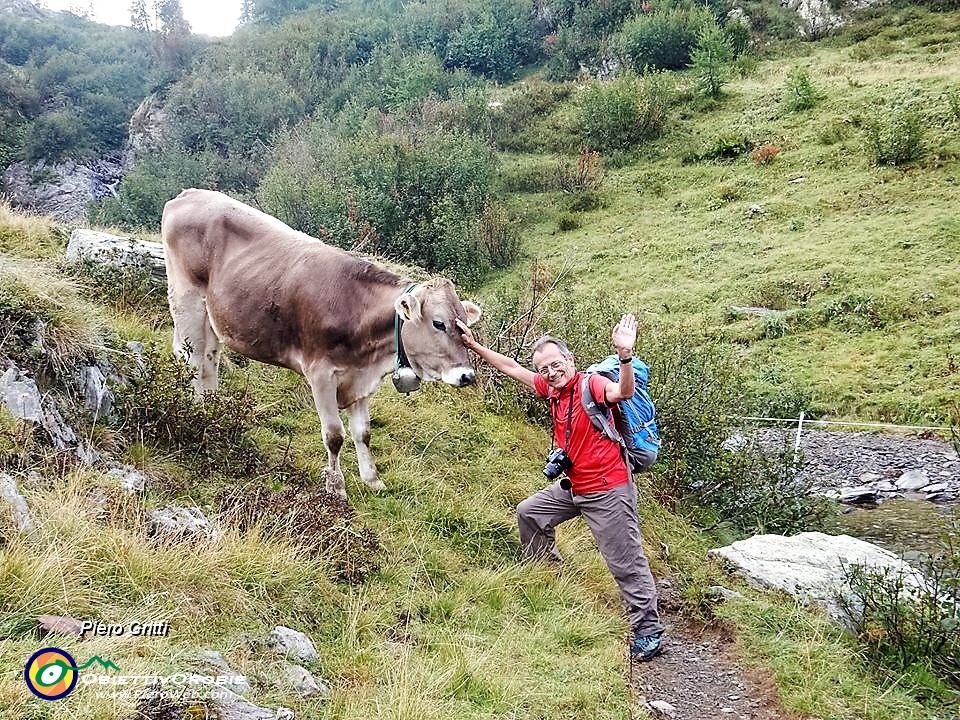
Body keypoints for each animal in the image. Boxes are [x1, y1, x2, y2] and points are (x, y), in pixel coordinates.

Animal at [160, 188, 484, 498]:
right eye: (439, 323)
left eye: (464, 326)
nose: (467, 375)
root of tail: (189, 194)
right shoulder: (321, 373)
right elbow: (335, 435)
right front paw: (336, 487)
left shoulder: (358, 377)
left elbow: (363, 432)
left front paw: (372, 480)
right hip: (186, 299)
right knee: (191, 359)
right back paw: (195, 412)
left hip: (215, 317)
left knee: (209, 361)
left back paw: (212, 410)